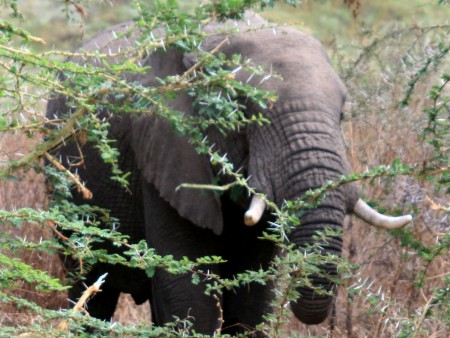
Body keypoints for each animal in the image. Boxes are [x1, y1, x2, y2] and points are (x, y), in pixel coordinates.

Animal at [46, 11, 412, 336]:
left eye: (342, 114)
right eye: (243, 109)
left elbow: (251, 301)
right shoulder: (164, 146)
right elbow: (190, 296)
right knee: (90, 290)